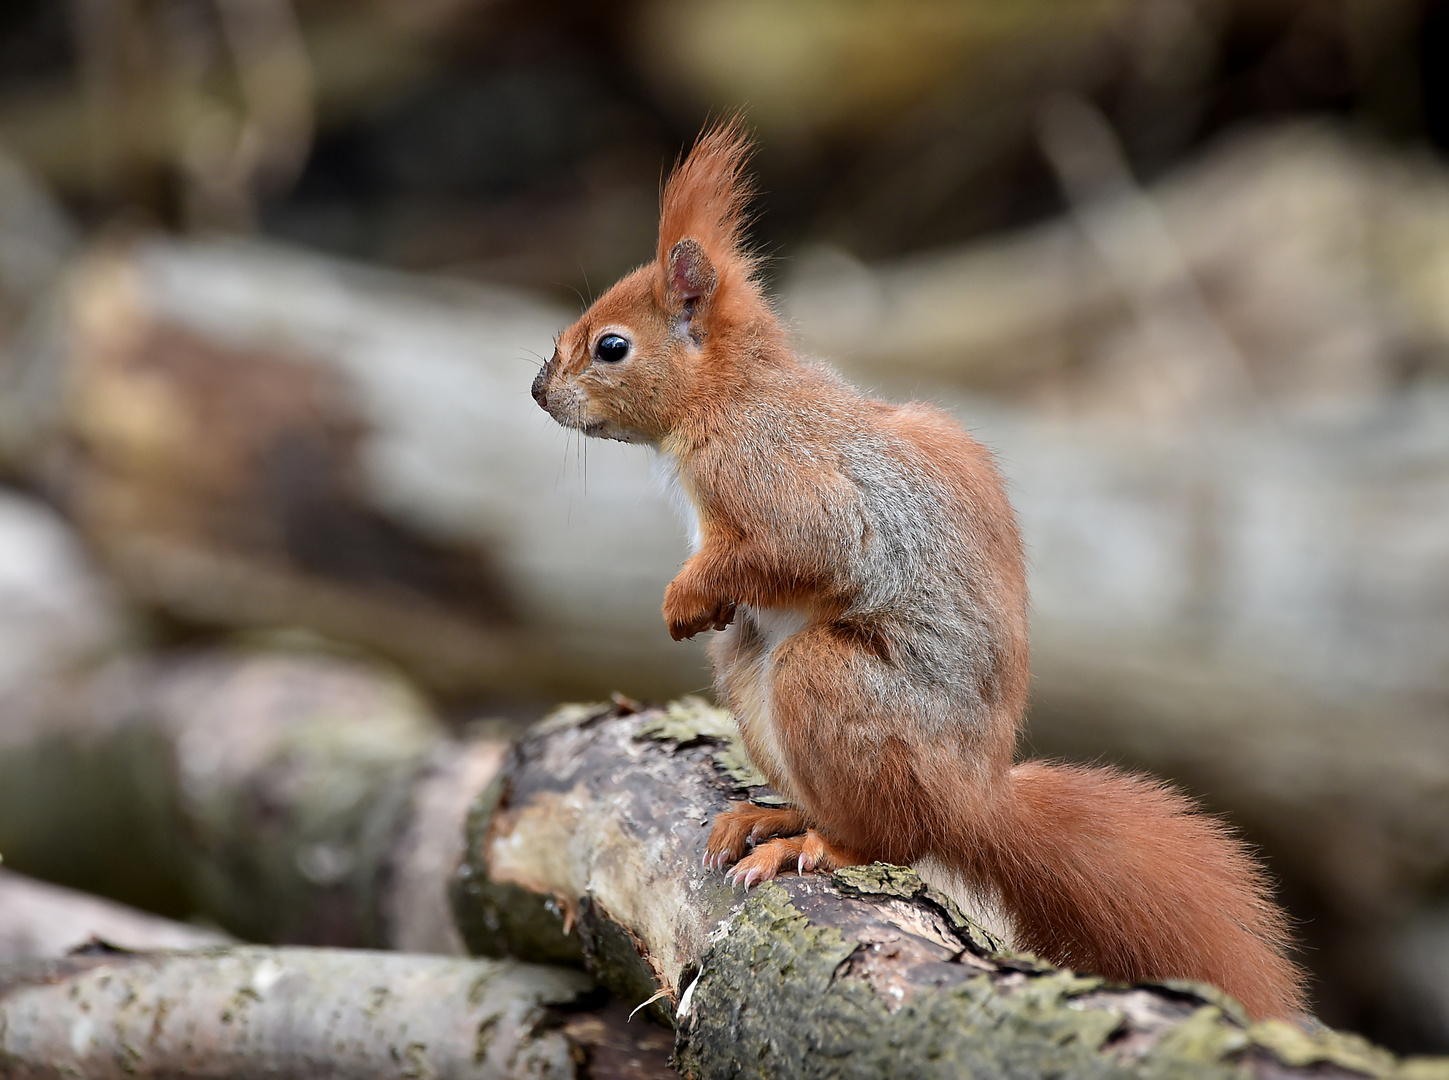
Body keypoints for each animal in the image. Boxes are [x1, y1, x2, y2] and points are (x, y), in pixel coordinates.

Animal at [530, 122, 1304, 1014]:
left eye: (610, 347)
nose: (537, 390)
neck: (726, 395)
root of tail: (972, 802)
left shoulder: (770, 469)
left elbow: (810, 545)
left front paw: (686, 594)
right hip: (750, 670)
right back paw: (773, 819)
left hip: (831, 683)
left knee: (889, 841)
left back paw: (815, 846)